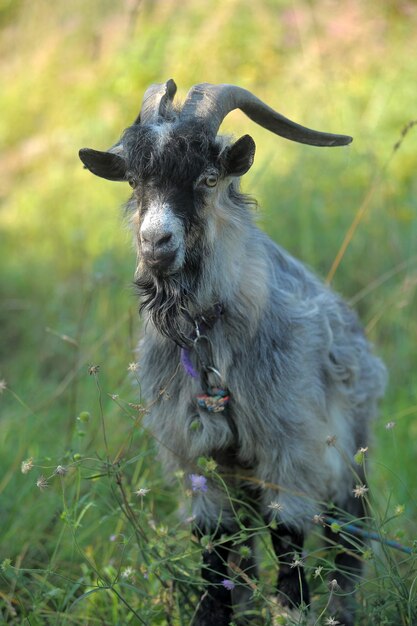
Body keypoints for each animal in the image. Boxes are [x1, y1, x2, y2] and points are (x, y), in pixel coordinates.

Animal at [79, 80, 386, 620]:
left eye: (208, 177)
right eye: (134, 182)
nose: (156, 243)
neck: (206, 346)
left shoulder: (291, 448)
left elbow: (288, 544)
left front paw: (293, 614)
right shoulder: (198, 463)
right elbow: (214, 556)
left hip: (349, 456)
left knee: (346, 541)